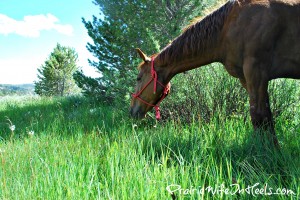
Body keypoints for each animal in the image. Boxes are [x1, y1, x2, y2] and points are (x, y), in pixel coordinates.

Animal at [131, 0, 300, 144]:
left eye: (139, 78)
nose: (132, 111)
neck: (227, 27)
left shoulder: (256, 73)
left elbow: (259, 115)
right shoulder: (246, 78)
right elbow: (264, 118)